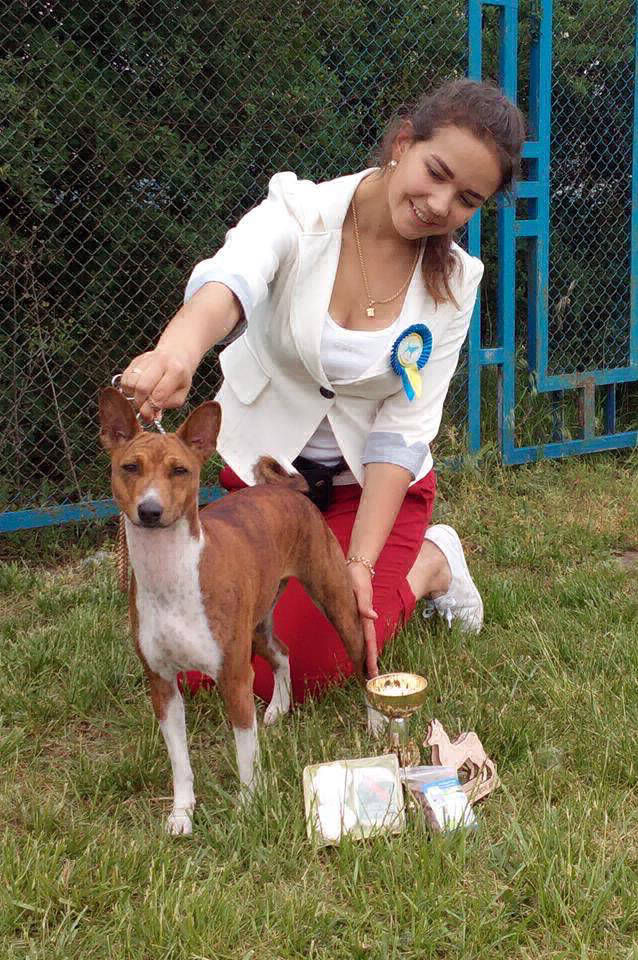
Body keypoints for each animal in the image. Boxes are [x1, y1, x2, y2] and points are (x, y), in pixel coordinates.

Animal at [99, 386, 367, 834]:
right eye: (130, 467)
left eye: (180, 471)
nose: (150, 511)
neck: (170, 577)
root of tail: (288, 490)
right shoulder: (162, 685)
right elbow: (180, 763)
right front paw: (182, 814)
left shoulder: (234, 679)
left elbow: (245, 756)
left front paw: (248, 808)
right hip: (257, 624)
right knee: (282, 653)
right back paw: (277, 709)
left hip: (336, 602)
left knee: (364, 662)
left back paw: (378, 722)